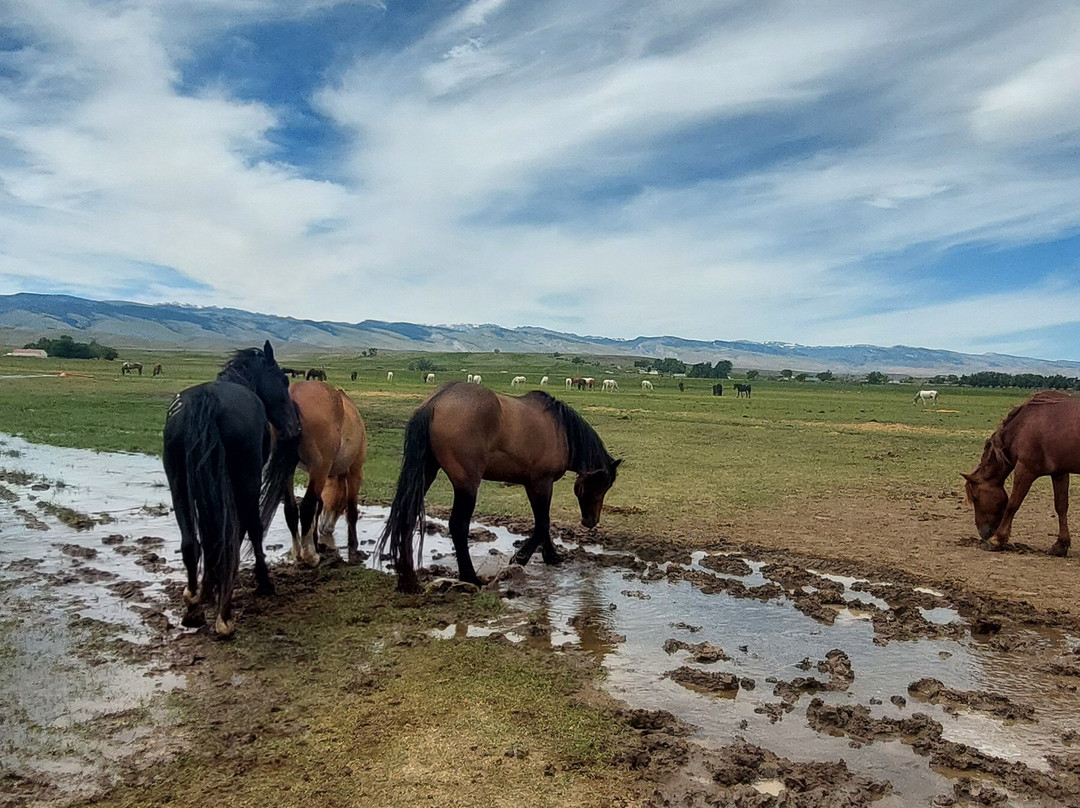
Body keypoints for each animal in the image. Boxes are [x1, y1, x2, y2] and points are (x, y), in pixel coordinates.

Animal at [163, 341, 300, 636]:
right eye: (283, 380)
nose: (295, 427)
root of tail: (207, 400)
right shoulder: (248, 481)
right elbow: (249, 529)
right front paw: (264, 583)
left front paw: (207, 588)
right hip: (245, 479)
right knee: (235, 537)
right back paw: (224, 617)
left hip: (178, 482)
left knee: (192, 543)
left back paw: (194, 606)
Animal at [263, 381, 367, 566]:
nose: (326, 528)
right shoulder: (354, 472)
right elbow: (351, 511)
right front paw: (353, 544)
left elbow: (318, 507)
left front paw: (316, 541)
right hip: (320, 469)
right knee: (306, 507)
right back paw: (310, 556)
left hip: (288, 471)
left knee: (291, 509)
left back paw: (297, 552)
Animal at [378, 382, 621, 592]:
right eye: (602, 485)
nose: (590, 522)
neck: (560, 430)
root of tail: (435, 403)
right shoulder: (541, 482)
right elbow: (542, 522)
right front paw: (521, 557)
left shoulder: (532, 484)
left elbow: (543, 522)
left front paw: (551, 556)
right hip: (467, 484)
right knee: (458, 525)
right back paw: (471, 578)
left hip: (427, 472)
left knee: (408, 517)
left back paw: (408, 580)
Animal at [964, 390, 1080, 557]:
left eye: (975, 497)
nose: (983, 533)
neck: (1024, 425)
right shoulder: (1060, 473)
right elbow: (1061, 506)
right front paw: (1060, 545)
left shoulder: (1025, 470)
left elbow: (1013, 504)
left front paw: (997, 539)